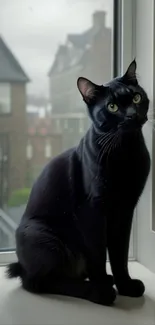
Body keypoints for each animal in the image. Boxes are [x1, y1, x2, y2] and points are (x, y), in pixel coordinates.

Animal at [6, 59, 150, 306]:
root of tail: (22, 265)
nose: (132, 114)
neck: (125, 152)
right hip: (41, 236)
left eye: (136, 98)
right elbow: (98, 253)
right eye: (112, 106)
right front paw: (103, 289)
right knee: (39, 282)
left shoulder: (125, 210)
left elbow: (120, 253)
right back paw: (96, 290)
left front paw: (126, 285)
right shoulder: (92, 210)